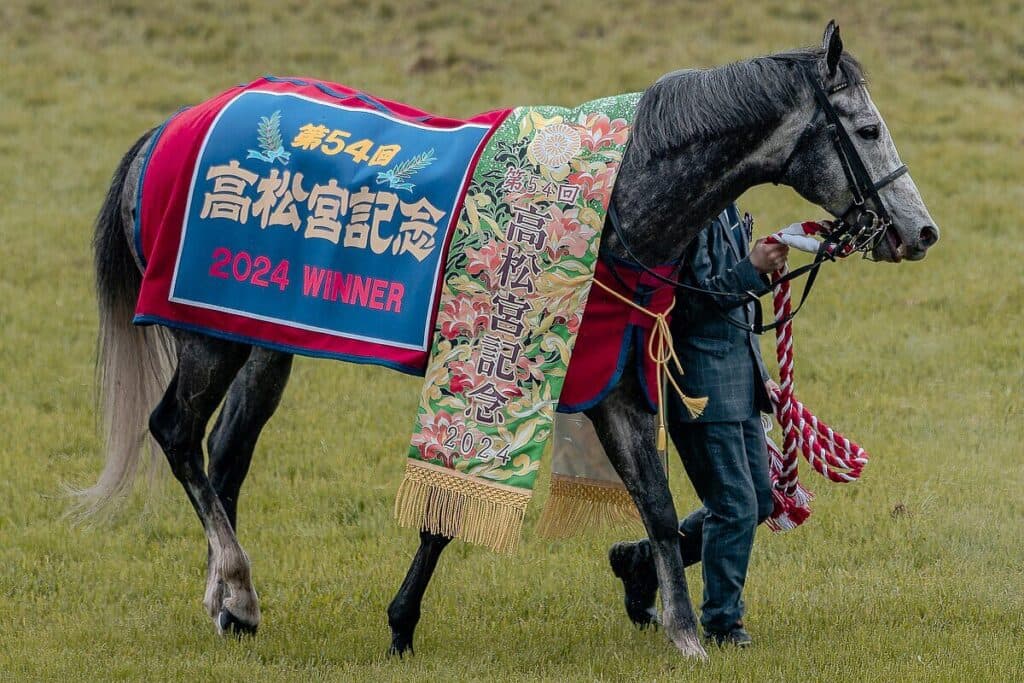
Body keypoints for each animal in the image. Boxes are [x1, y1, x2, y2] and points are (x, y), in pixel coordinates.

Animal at [79, 23, 937, 660]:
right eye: (866, 127)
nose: (920, 230)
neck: (616, 196)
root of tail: (169, 130)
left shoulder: (608, 383)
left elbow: (658, 507)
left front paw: (684, 631)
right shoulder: (500, 366)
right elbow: (455, 496)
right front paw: (402, 622)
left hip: (261, 339)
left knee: (225, 455)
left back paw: (226, 603)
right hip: (207, 337)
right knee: (176, 434)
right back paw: (238, 586)